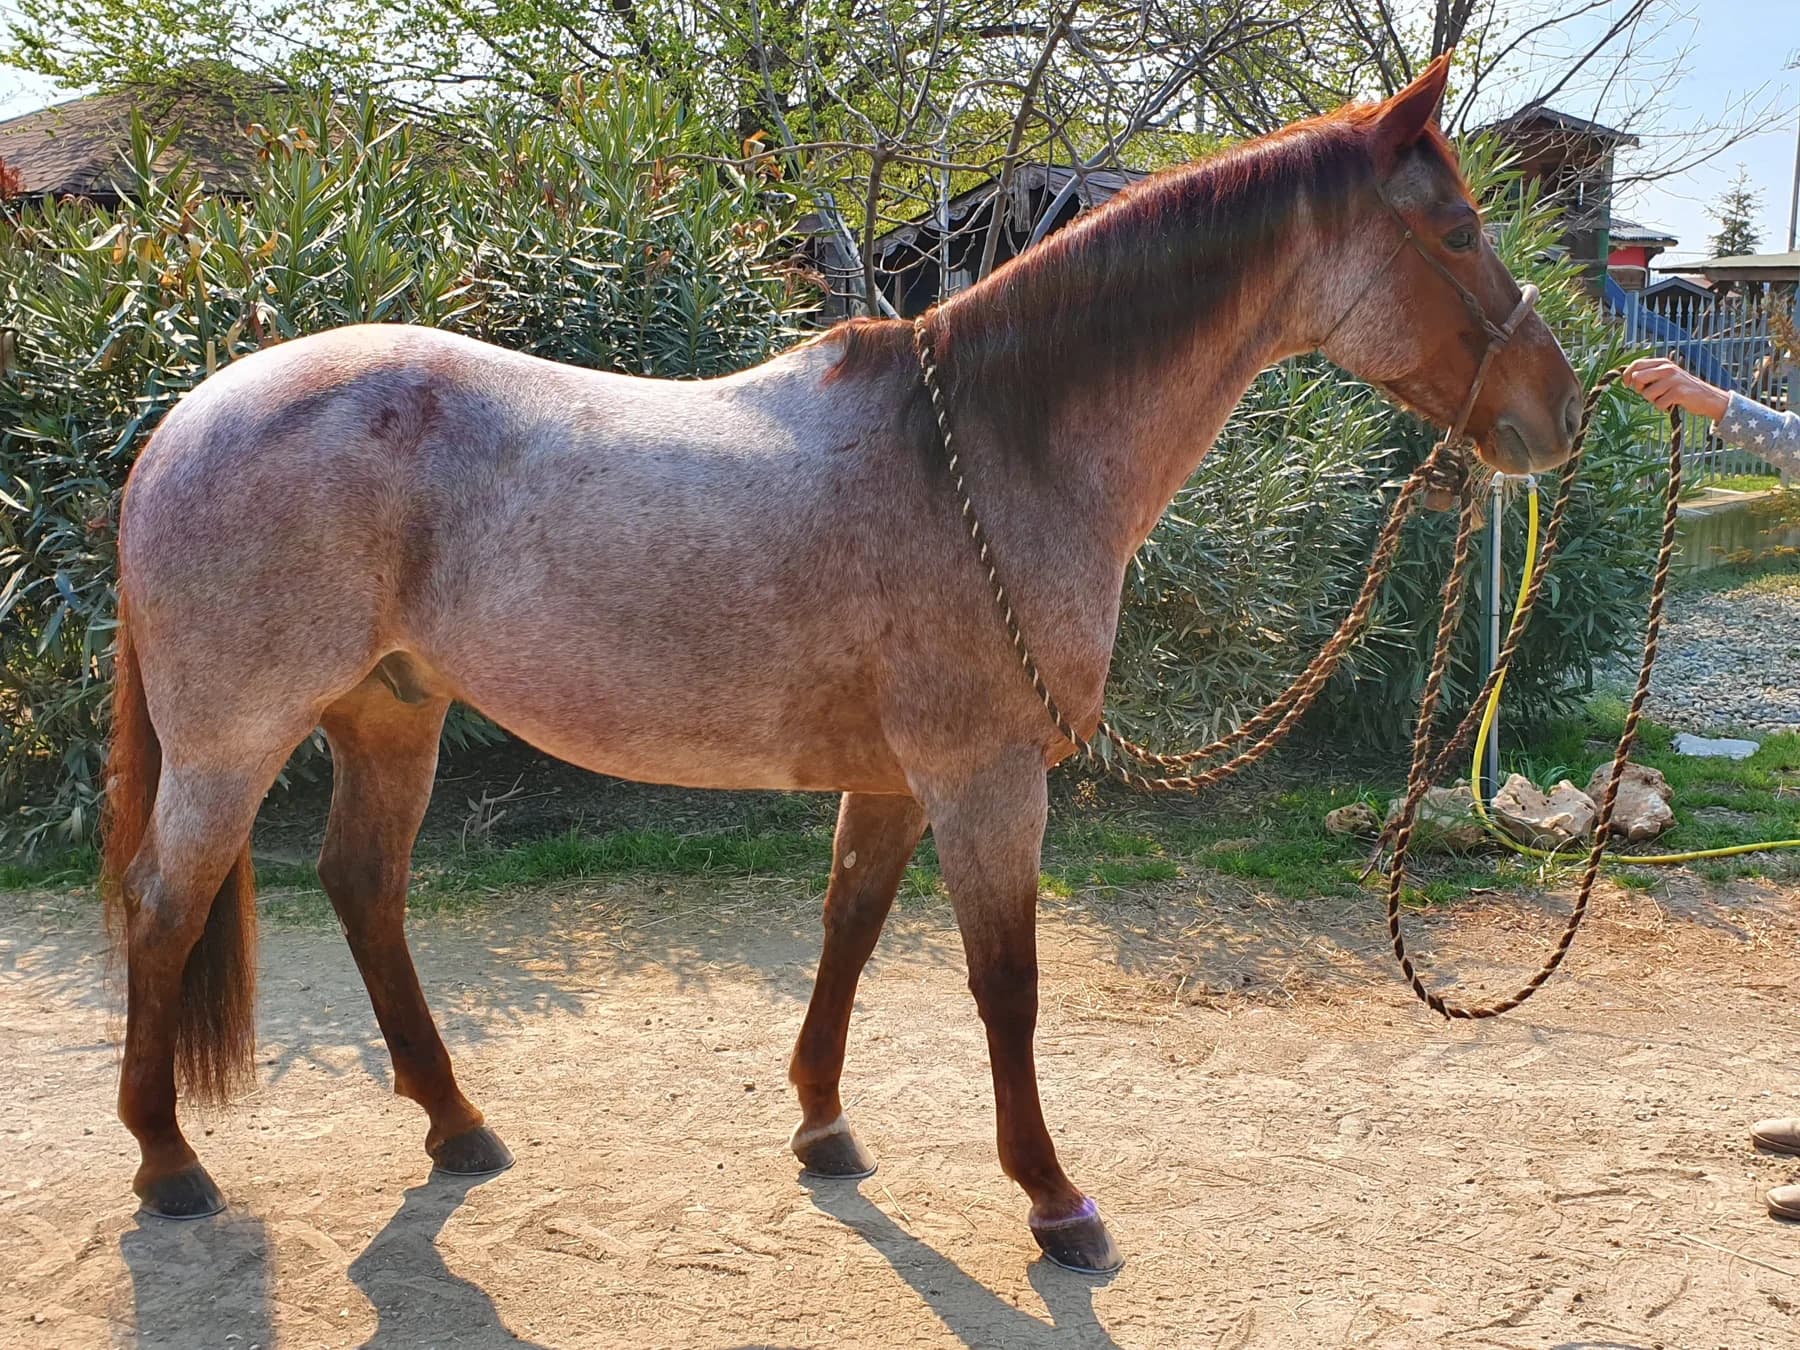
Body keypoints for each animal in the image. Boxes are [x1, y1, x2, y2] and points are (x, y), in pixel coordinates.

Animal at [101, 53, 1580, 1273]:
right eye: (1458, 230)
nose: (1558, 412)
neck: (990, 448)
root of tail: (186, 417)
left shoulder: (897, 782)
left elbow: (851, 931)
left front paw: (821, 1125)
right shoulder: (986, 778)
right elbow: (1006, 982)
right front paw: (1054, 1200)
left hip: (390, 715)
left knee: (363, 886)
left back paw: (456, 1122)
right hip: (234, 742)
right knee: (165, 905)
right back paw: (169, 1161)